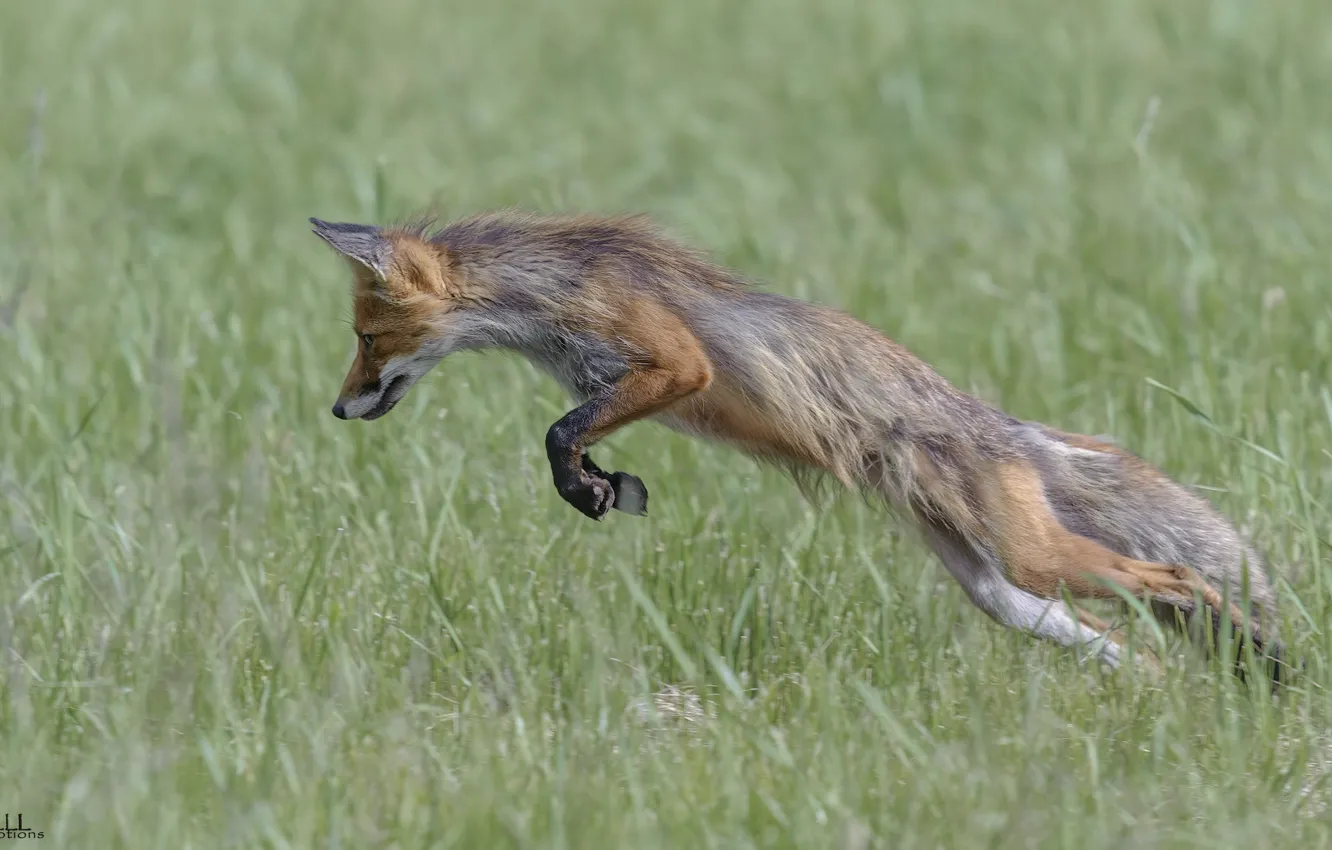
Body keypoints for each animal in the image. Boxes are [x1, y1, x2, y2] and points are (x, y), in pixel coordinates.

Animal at [310, 209, 1290, 686]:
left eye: (365, 336)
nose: (336, 409)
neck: (549, 299)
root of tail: (1009, 429)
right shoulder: (608, 383)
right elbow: (572, 436)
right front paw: (598, 484)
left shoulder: (675, 364)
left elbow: (557, 432)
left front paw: (587, 483)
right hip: (1001, 590)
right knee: (1129, 639)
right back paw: (1180, 692)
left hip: (1035, 556)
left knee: (1182, 577)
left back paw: (1255, 662)